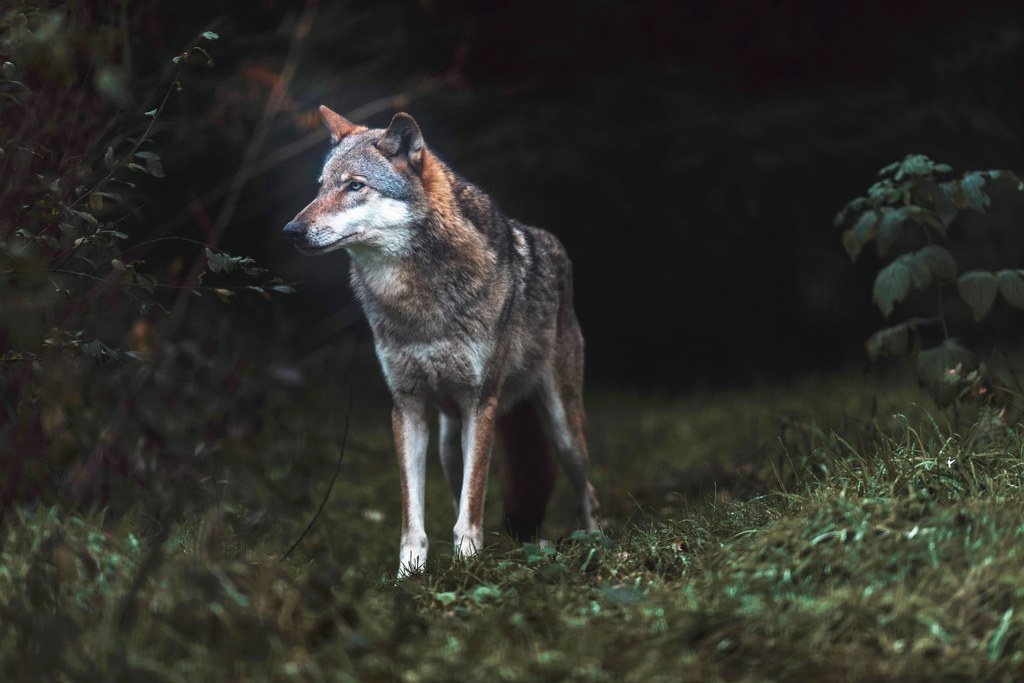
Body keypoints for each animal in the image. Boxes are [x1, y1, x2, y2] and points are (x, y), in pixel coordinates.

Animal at [282, 108, 598, 577]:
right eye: (320, 186)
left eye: (355, 186)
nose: (291, 230)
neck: (416, 303)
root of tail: (554, 244)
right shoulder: (407, 407)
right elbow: (414, 514)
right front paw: (409, 576)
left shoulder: (480, 403)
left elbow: (473, 503)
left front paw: (468, 567)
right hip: (450, 442)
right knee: (456, 490)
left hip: (562, 429)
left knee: (586, 488)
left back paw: (599, 544)